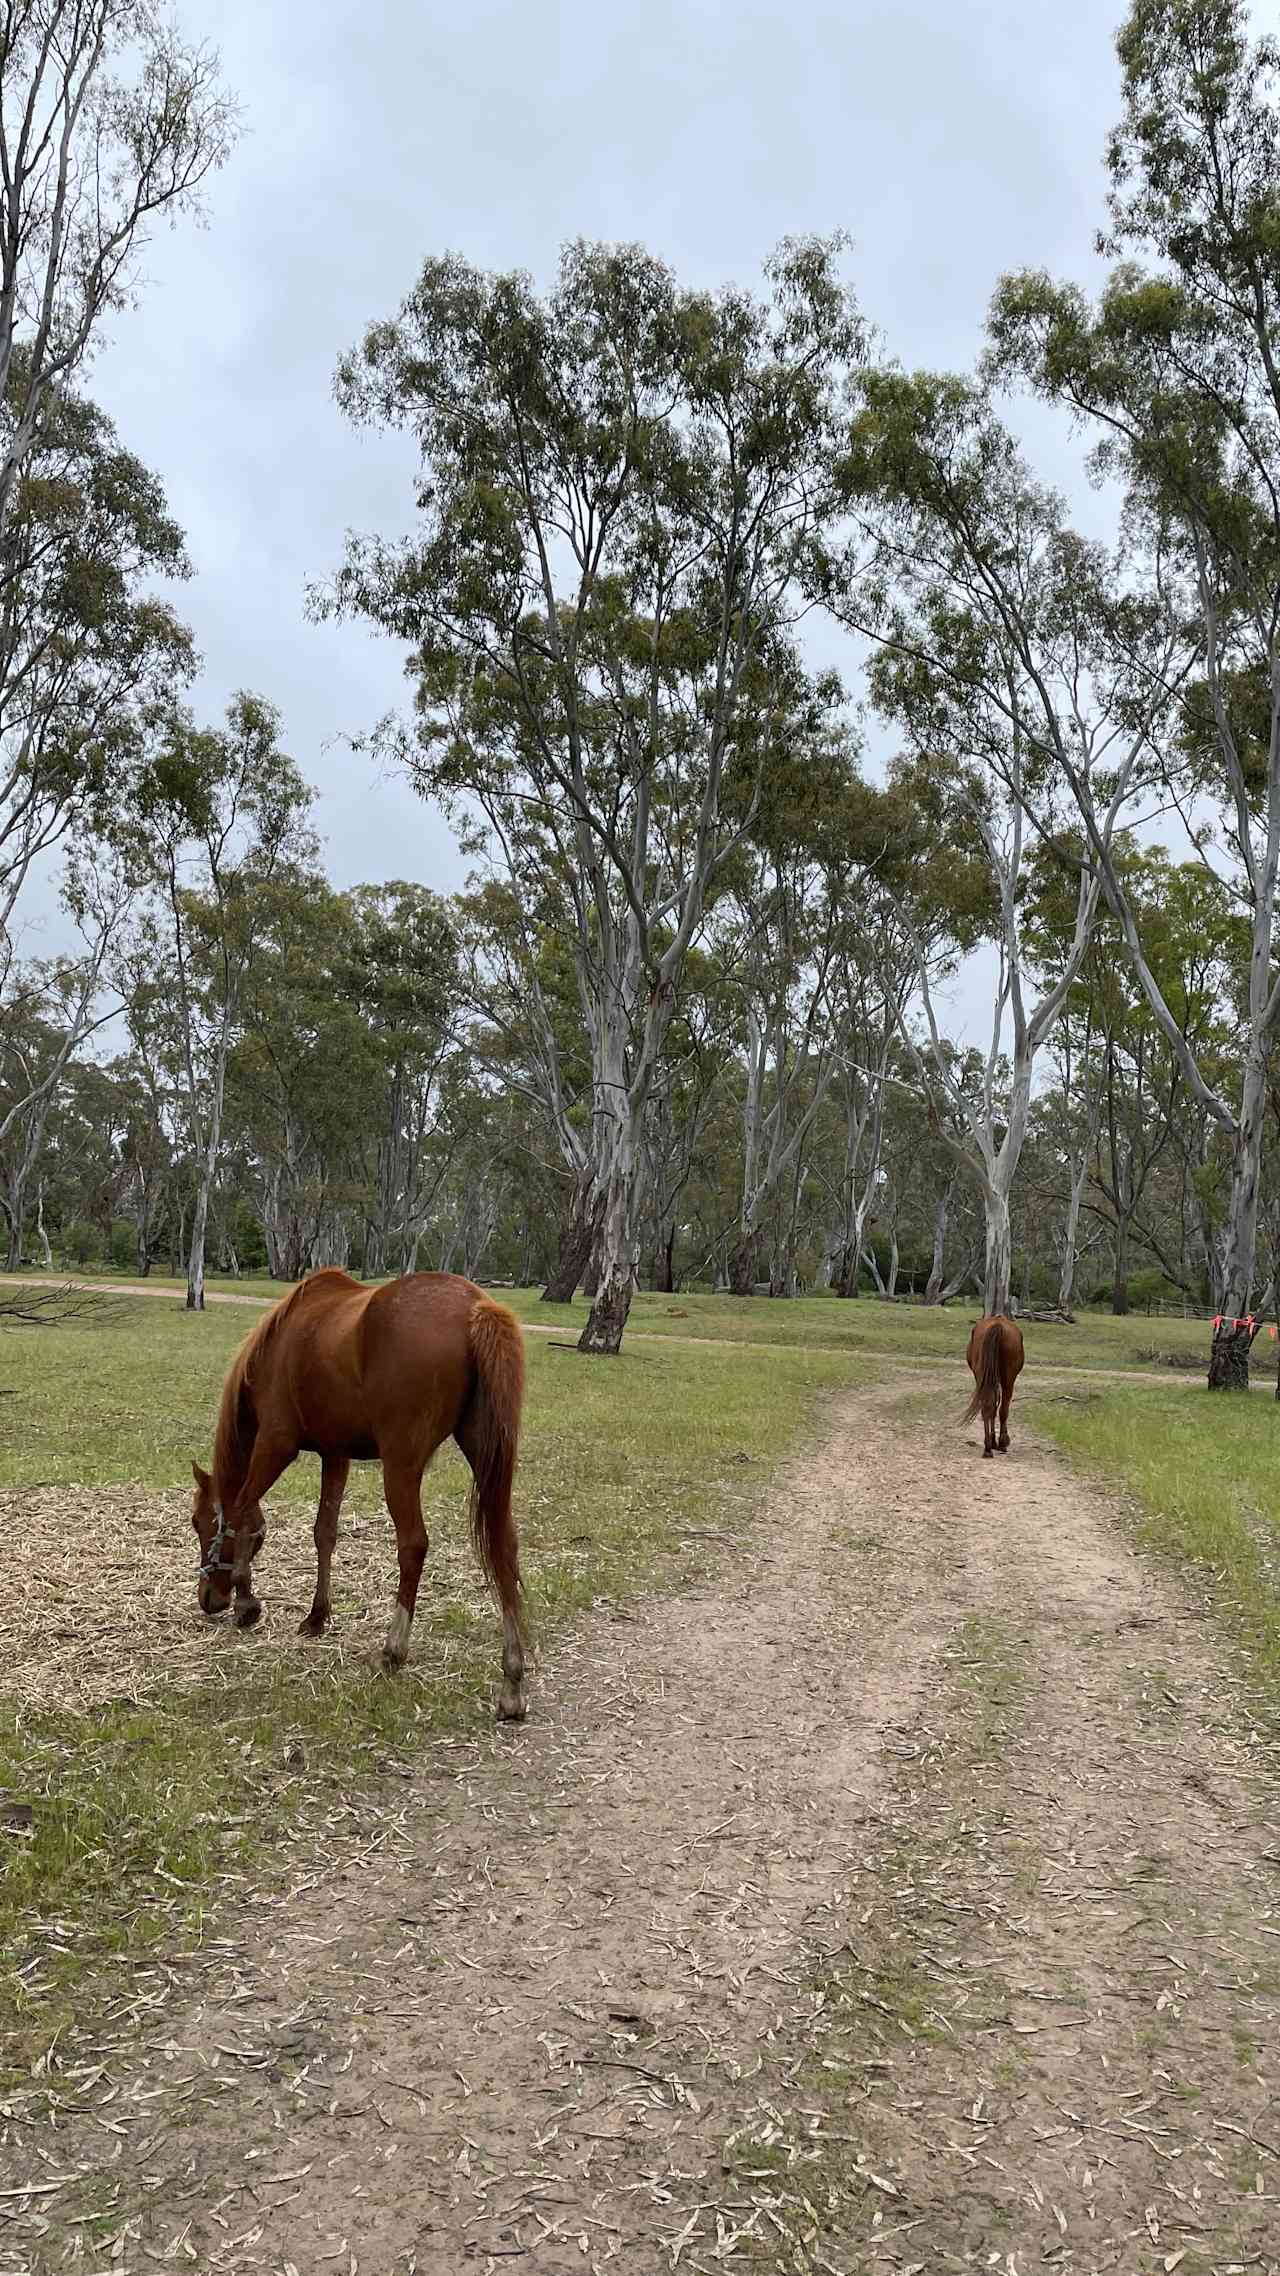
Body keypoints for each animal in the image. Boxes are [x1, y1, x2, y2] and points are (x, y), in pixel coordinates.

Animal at [186, 1265, 526, 1720]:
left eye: (198, 1523)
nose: (208, 1599)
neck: (278, 1344)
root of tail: (477, 1308)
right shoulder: (336, 1455)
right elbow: (324, 1533)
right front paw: (316, 1616)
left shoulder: (276, 1445)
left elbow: (242, 1514)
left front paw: (246, 1601)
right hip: (487, 1460)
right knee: (503, 1547)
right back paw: (512, 1680)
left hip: (401, 1467)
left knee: (413, 1545)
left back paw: (393, 1649)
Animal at [961, 1320, 1020, 1456]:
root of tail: (998, 1324)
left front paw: (993, 1441)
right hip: (1008, 1380)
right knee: (1003, 1410)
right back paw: (1000, 1443)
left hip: (983, 1378)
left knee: (987, 1408)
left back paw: (988, 1447)